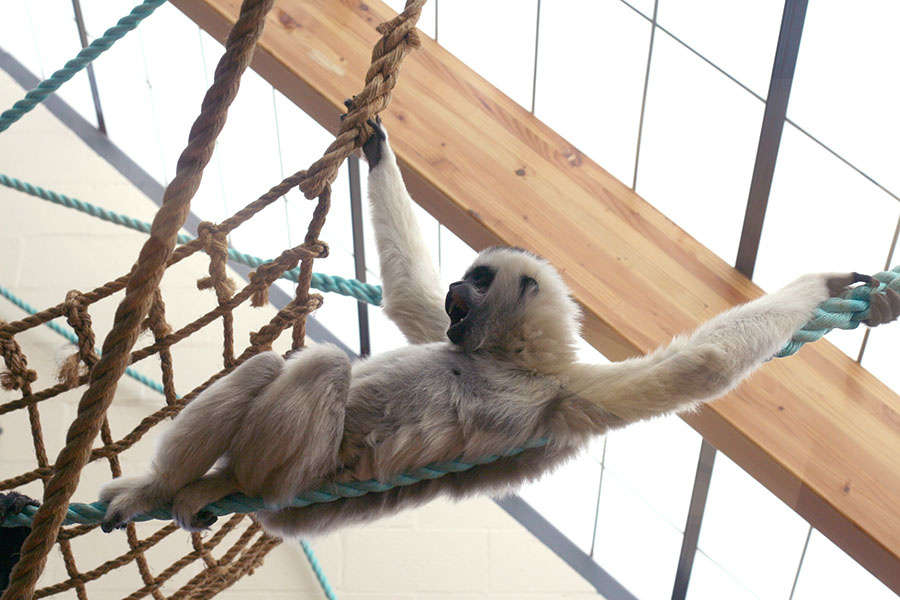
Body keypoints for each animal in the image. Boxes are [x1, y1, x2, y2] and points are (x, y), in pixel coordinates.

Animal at [99, 118, 900, 539]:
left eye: (480, 280)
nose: (460, 286)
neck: (512, 361)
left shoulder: (568, 397)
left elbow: (700, 366)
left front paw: (828, 286)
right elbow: (408, 300)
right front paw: (377, 145)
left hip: (288, 483)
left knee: (309, 371)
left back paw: (186, 486)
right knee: (277, 371)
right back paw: (168, 486)